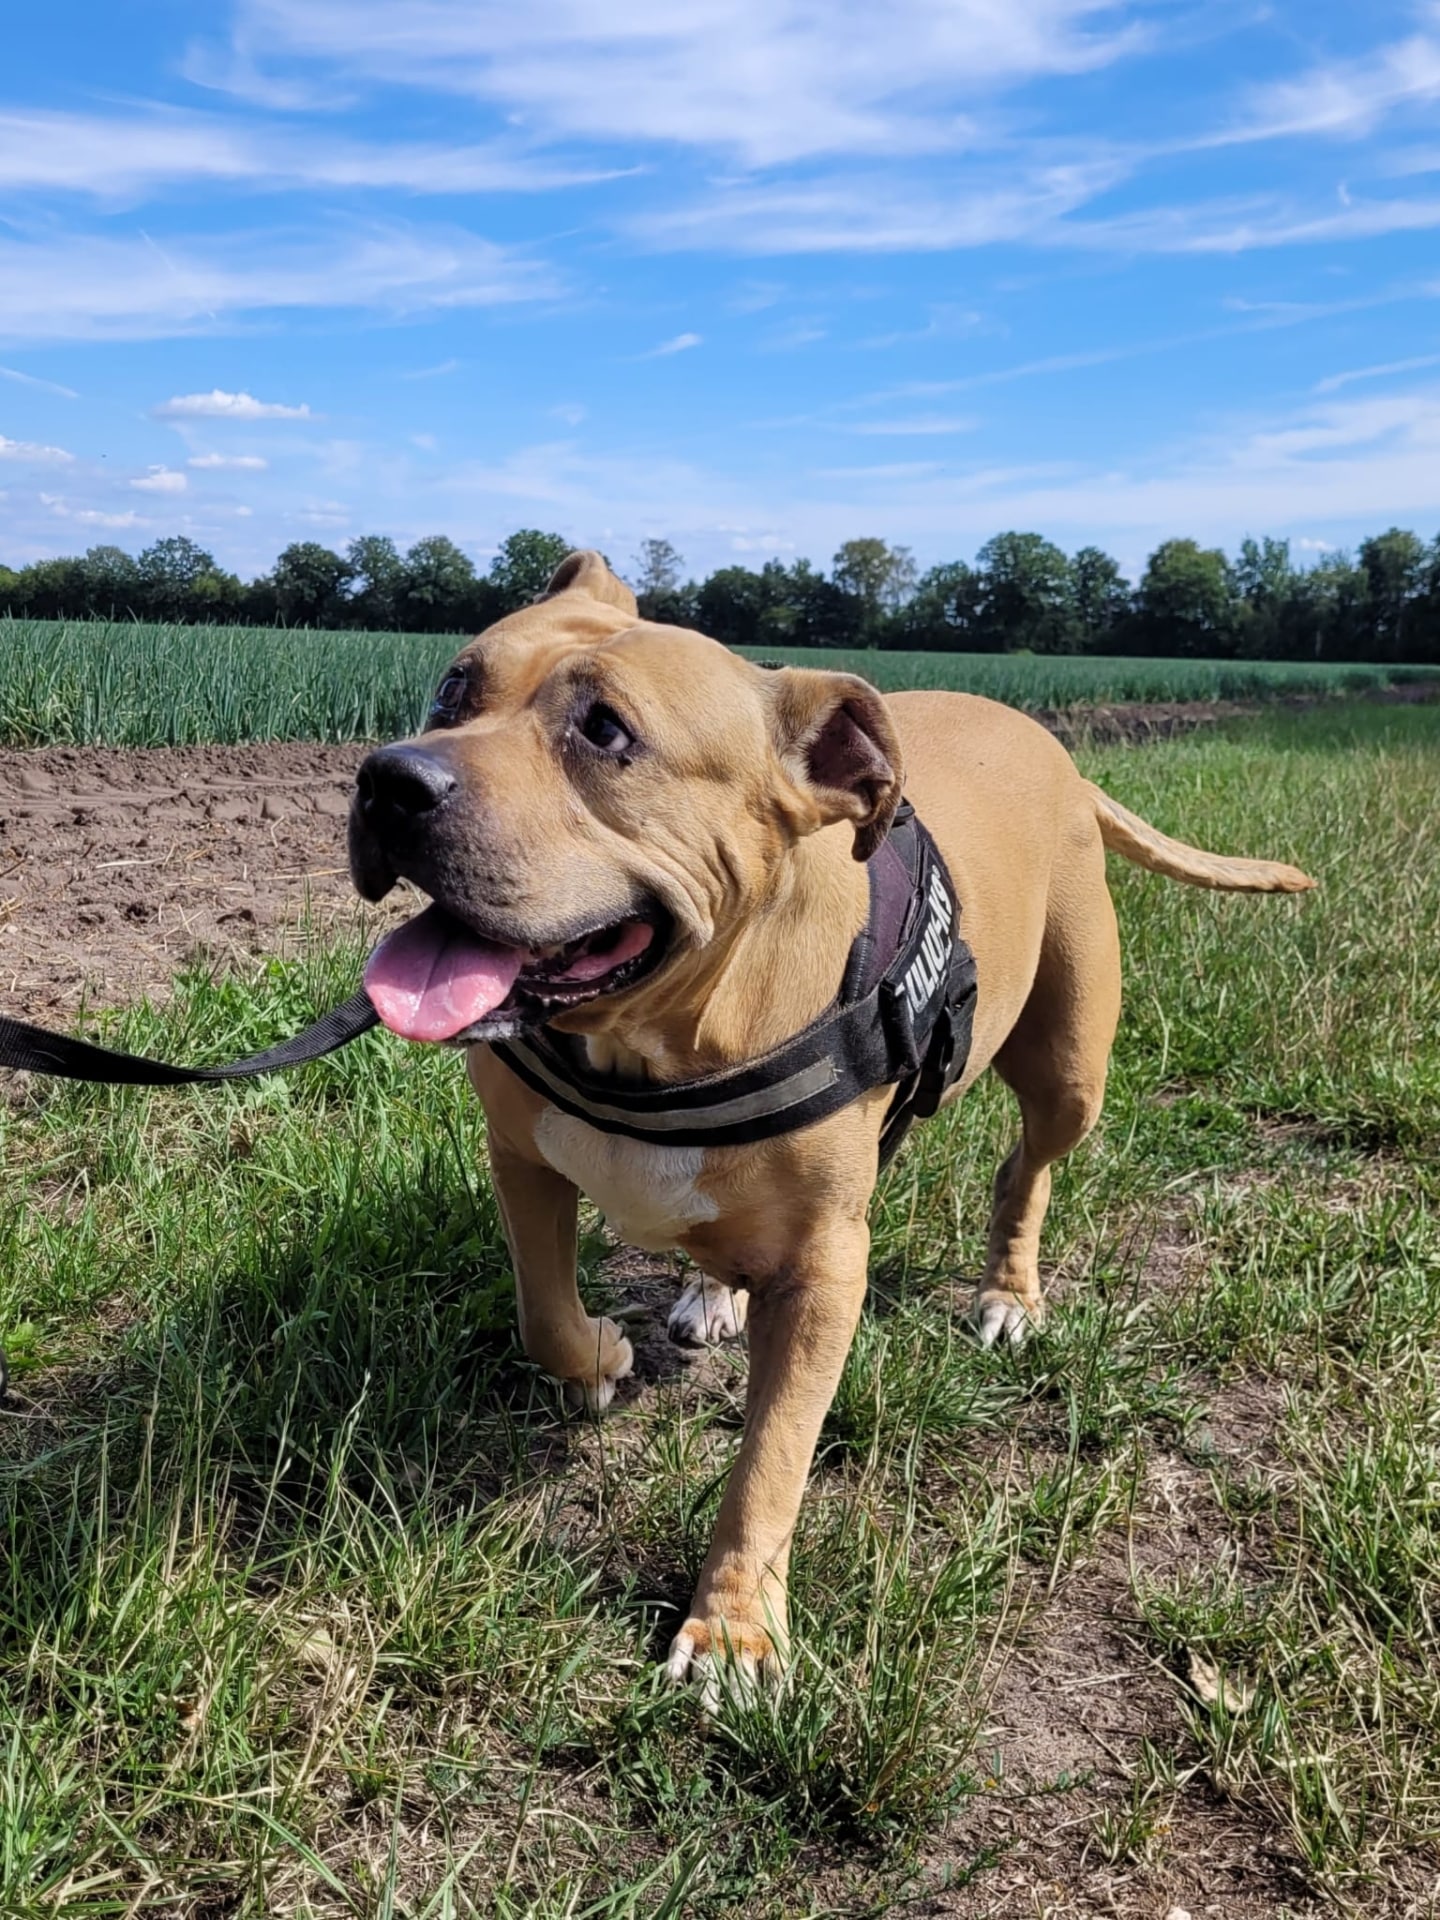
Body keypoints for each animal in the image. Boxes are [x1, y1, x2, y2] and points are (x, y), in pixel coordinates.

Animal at [348, 550, 1313, 1695]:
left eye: (606, 732)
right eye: (454, 689)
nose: (388, 778)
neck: (659, 1041)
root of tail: (1060, 756)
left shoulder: (822, 1271)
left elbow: (772, 1456)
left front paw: (732, 1628)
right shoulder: (521, 1160)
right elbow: (544, 1312)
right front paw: (604, 1360)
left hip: (1072, 1065)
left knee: (1028, 1165)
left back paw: (1008, 1292)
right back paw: (711, 1292)